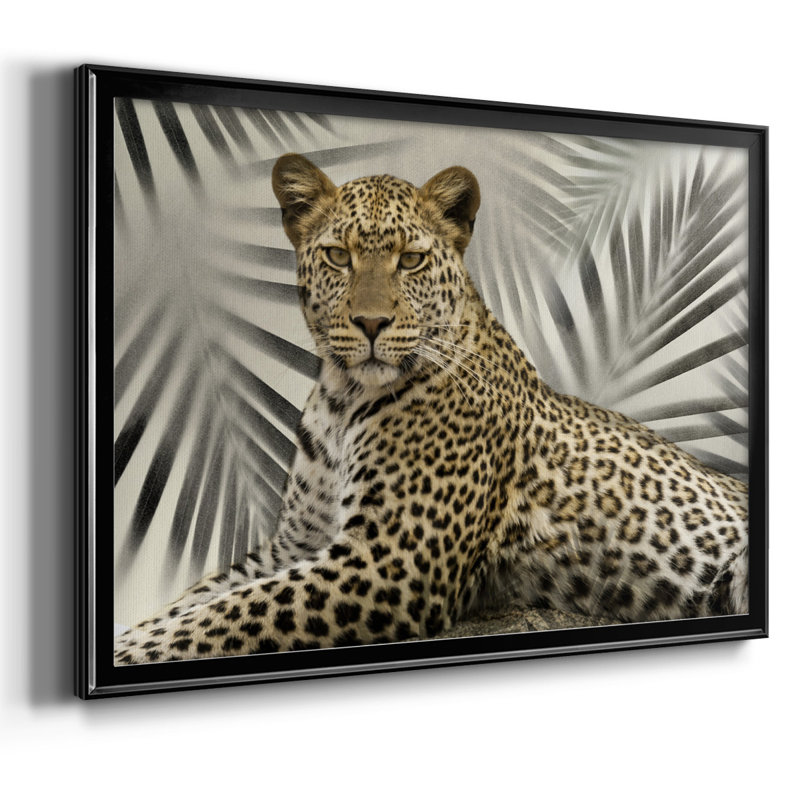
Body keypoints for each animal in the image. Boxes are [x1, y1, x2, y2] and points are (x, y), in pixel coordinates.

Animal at [114, 153, 749, 665]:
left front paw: (130, 651)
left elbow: (220, 618)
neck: (342, 398)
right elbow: (199, 601)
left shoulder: (389, 561)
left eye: (412, 260)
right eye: (338, 256)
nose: (371, 323)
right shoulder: (295, 545)